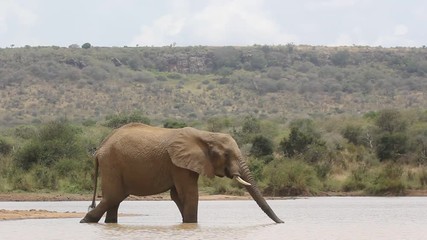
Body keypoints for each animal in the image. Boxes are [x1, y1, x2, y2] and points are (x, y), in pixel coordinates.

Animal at [80, 123, 284, 224]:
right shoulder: (178, 164)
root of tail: (100, 148)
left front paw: (187, 224)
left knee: (115, 199)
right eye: (227, 155)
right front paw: (191, 224)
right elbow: (189, 194)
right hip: (112, 163)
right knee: (114, 196)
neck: (206, 135)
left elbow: (178, 195)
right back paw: (86, 221)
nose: (282, 222)